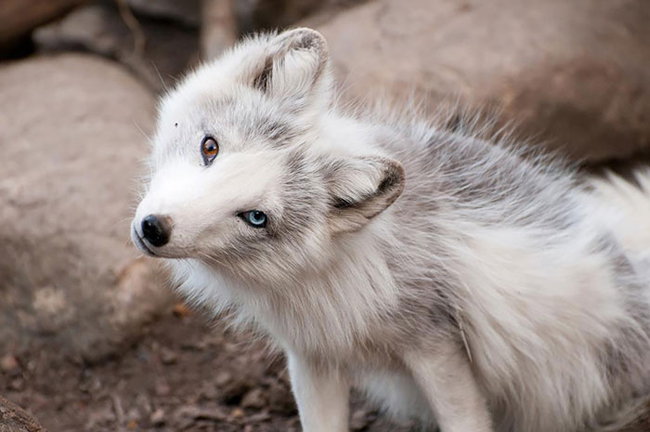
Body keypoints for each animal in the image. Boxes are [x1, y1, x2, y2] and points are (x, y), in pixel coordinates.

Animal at [132, 27, 648, 432]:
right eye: (210, 147)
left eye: (256, 217)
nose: (153, 229)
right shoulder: (312, 355)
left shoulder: (435, 345)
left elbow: (464, 420)